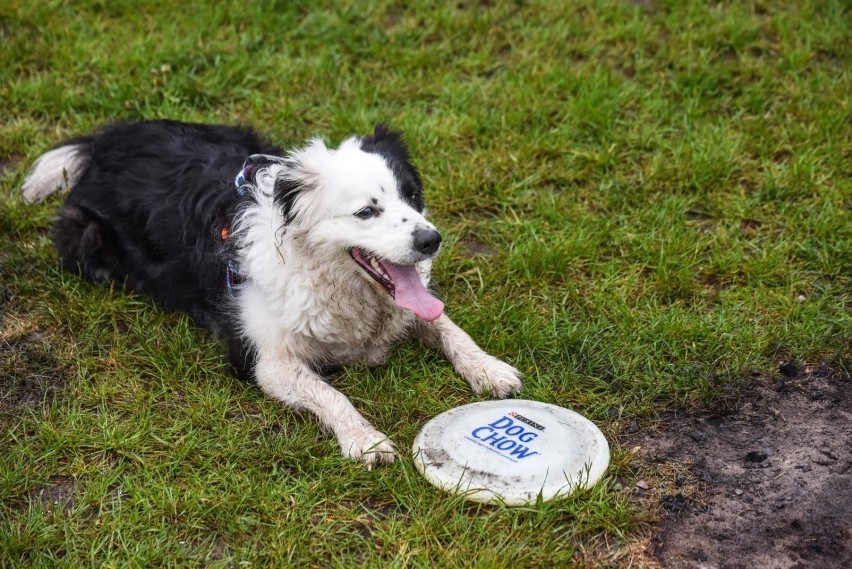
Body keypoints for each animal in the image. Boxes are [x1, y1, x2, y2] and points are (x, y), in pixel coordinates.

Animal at [23, 122, 524, 464]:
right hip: (86, 240)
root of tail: (106, 140)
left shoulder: (409, 307)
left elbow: (447, 326)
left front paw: (489, 369)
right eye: (366, 211)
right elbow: (328, 392)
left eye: (412, 195)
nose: (430, 240)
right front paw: (365, 440)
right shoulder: (264, 360)